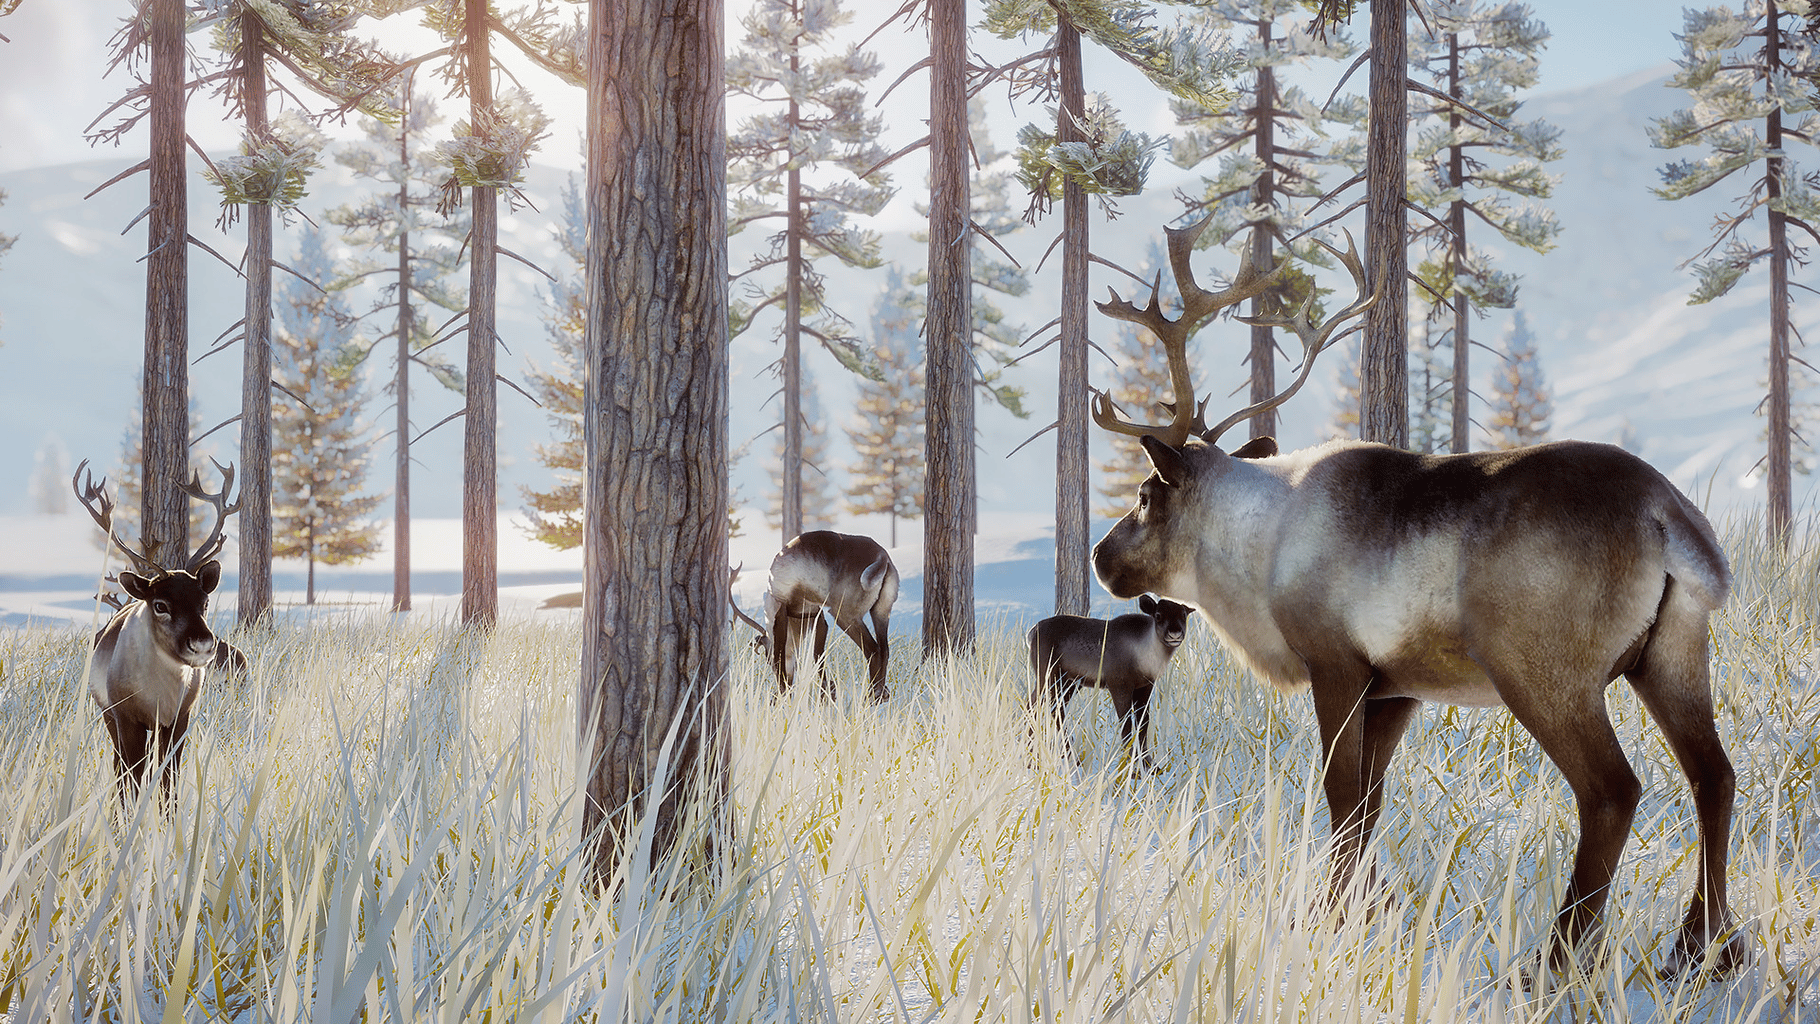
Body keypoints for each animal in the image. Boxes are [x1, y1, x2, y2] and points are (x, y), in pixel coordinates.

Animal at [1026, 596, 1193, 774]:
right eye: (1158, 615)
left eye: (1184, 615)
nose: (1175, 633)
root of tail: (1031, 633)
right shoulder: (1118, 684)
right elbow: (1126, 725)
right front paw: (1131, 768)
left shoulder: (1145, 686)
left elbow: (1143, 724)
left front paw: (1151, 766)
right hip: (1048, 675)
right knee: (1039, 706)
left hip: (1069, 682)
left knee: (1049, 707)